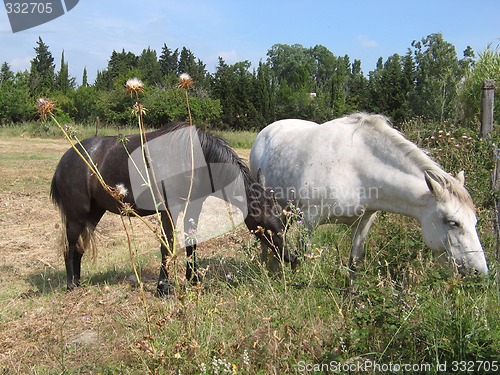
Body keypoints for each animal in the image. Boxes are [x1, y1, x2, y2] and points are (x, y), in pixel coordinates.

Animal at [50, 122, 292, 296]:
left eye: (281, 220)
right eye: (262, 221)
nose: (290, 258)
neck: (191, 157)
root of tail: (63, 161)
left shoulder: (194, 208)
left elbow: (192, 242)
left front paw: (193, 279)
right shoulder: (168, 211)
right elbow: (167, 246)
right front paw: (163, 288)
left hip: (93, 214)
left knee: (79, 247)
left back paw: (78, 281)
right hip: (76, 215)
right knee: (70, 245)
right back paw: (71, 284)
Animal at [250, 111, 488, 276]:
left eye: (474, 222)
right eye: (453, 222)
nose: (480, 272)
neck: (355, 166)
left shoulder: (364, 221)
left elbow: (354, 264)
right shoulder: (309, 219)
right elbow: (302, 259)